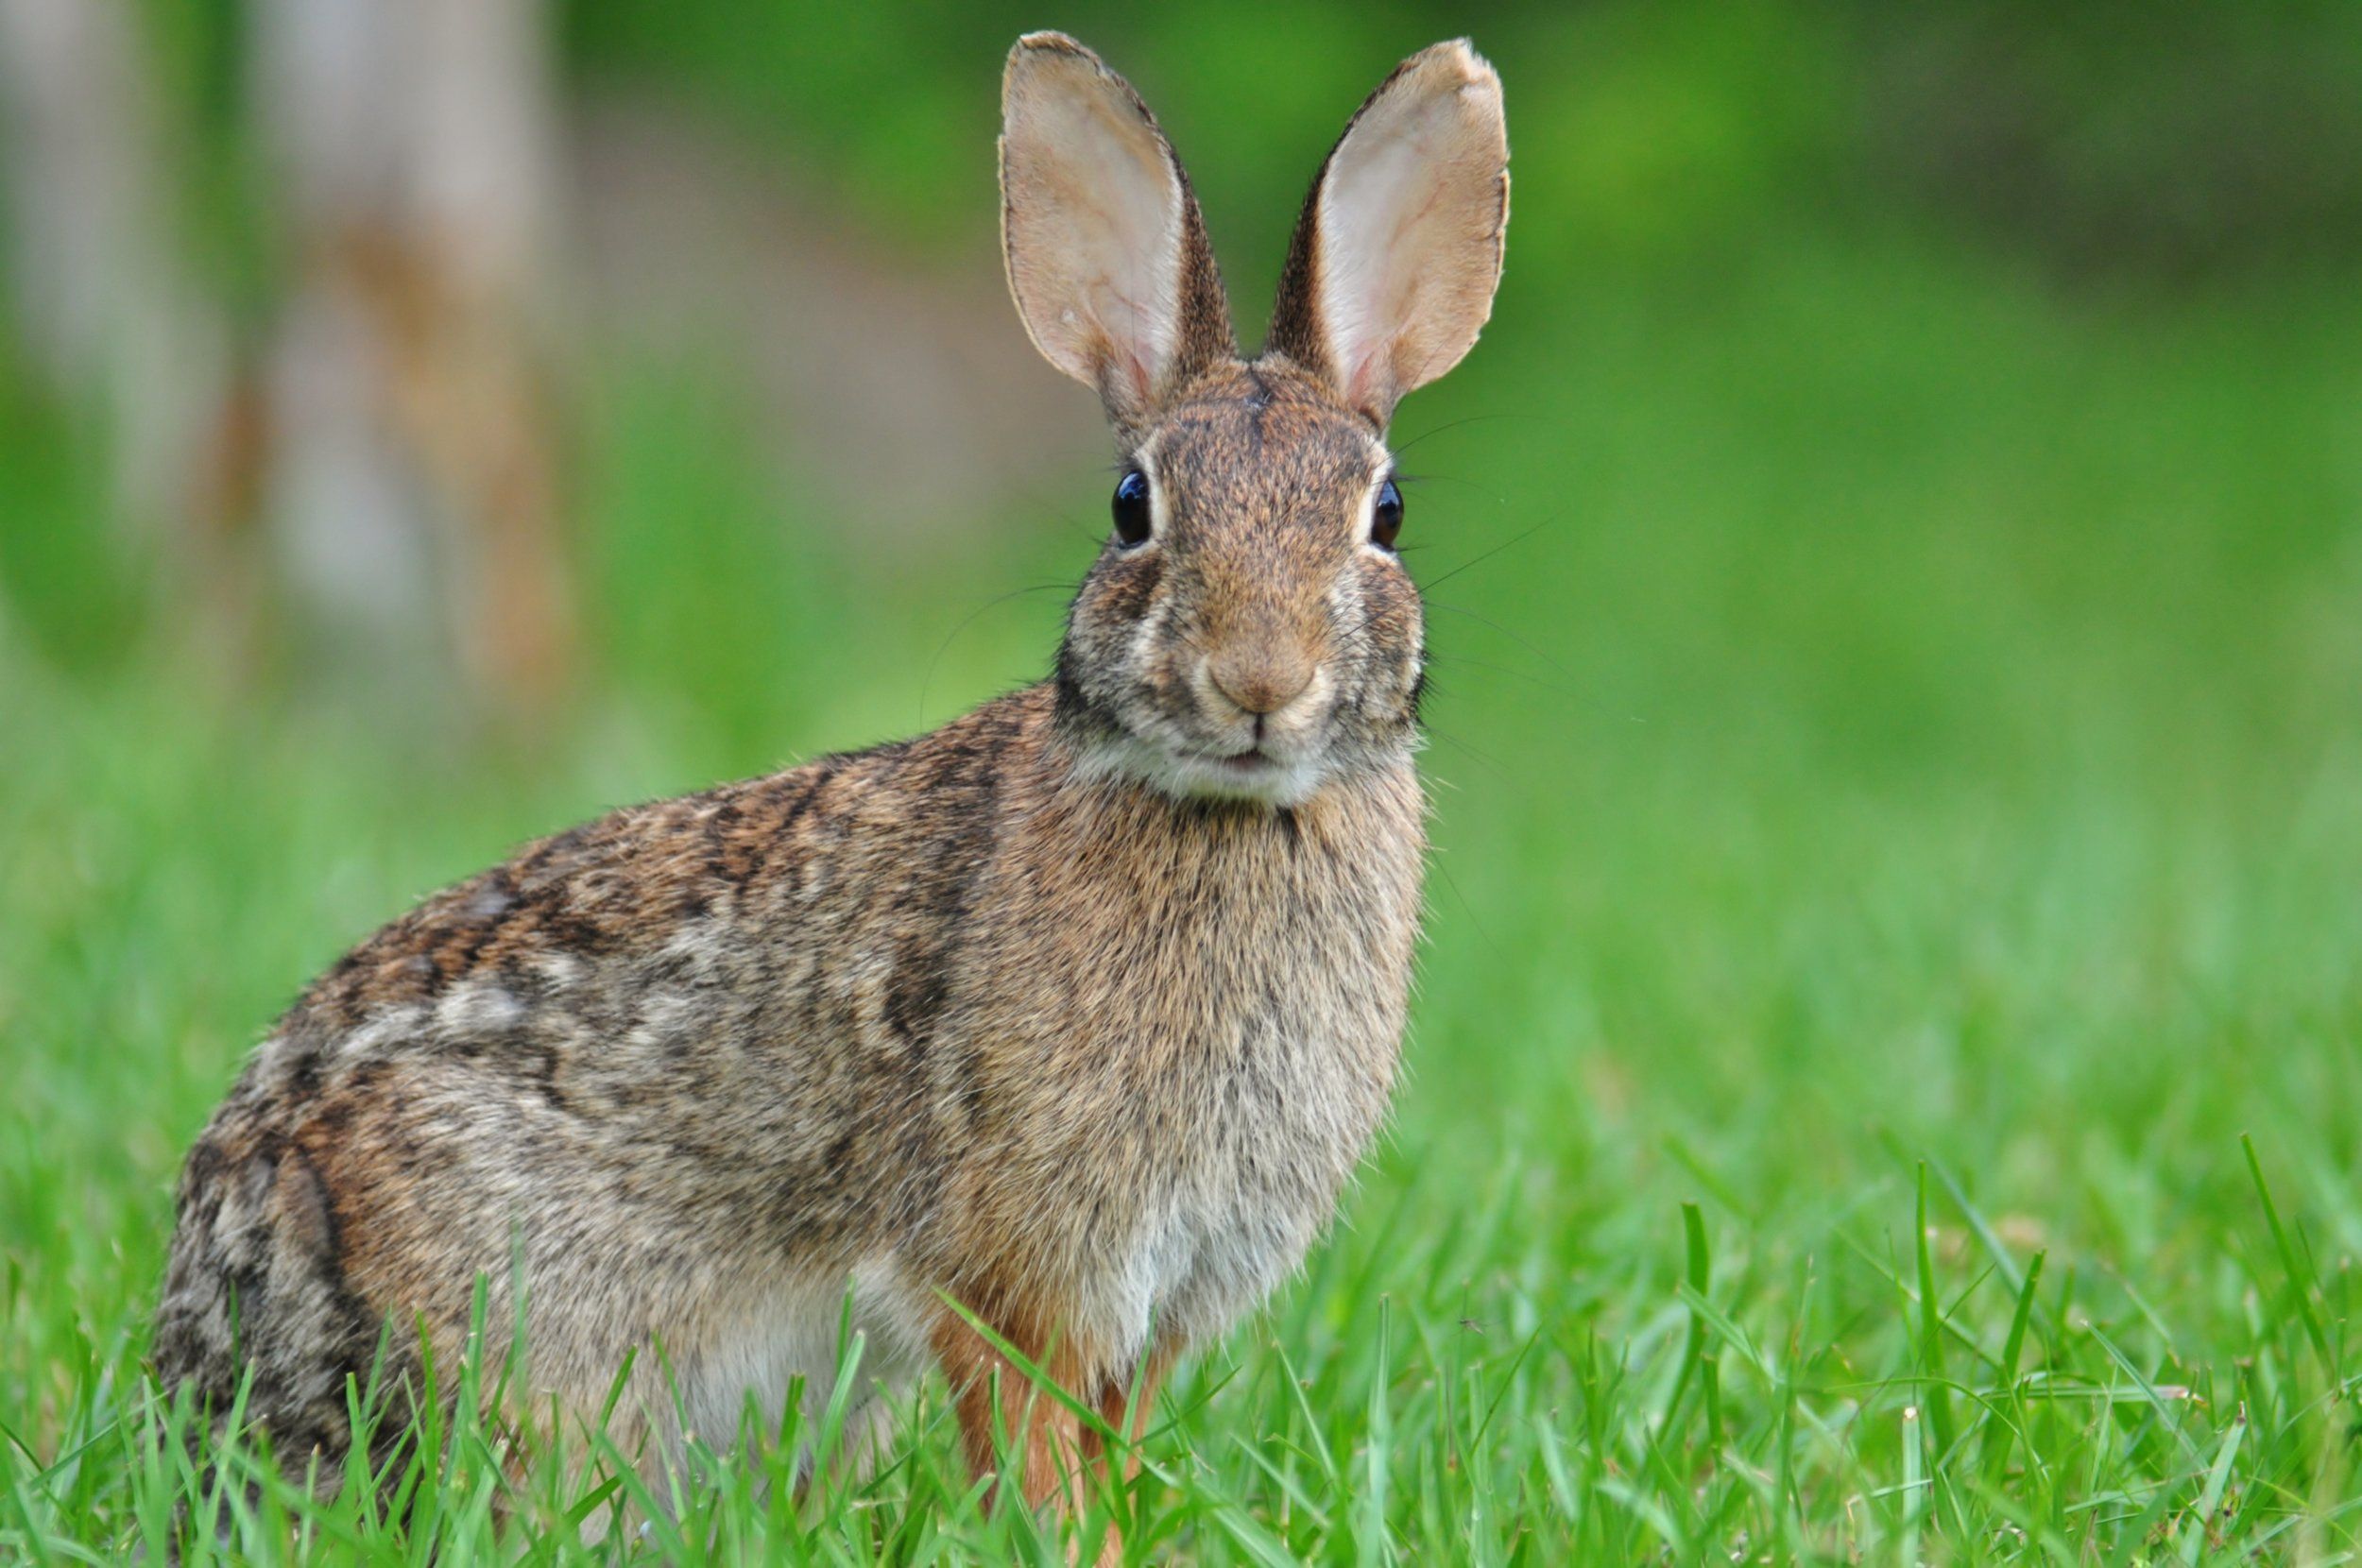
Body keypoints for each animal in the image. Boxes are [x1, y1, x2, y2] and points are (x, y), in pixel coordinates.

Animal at [152, 27, 1512, 1559]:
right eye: (1131, 506)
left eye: (1384, 513)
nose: (1260, 679)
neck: (1227, 816)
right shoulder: (1007, 1272)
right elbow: (1034, 1458)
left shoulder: (1153, 1308)